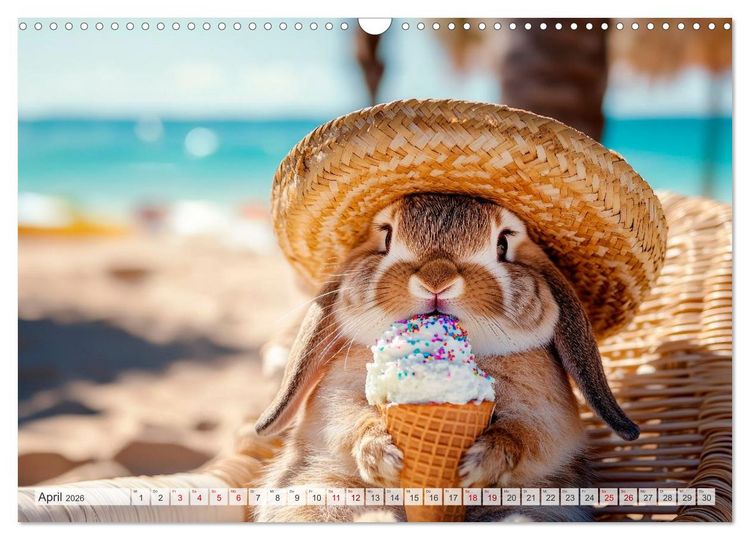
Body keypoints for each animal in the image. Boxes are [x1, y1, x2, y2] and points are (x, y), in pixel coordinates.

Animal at [253, 193, 639, 523]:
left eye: (504, 243)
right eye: (386, 236)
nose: (436, 280)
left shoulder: (547, 415)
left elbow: (525, 434)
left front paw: (481, 463)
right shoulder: (336, 399)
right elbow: (349, 420)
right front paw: (382, 457)